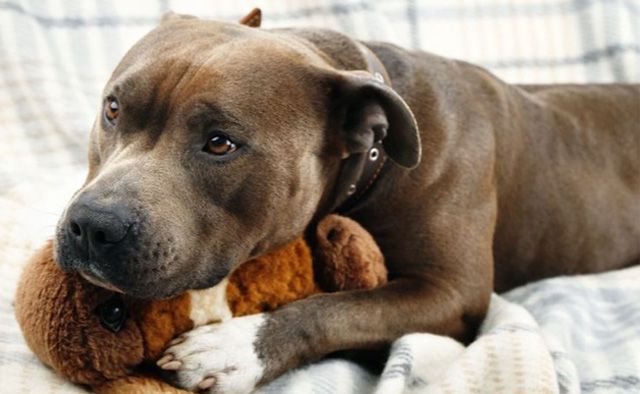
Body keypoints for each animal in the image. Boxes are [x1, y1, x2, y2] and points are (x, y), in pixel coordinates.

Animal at [56, 9, 640, 394]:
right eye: (113, 108)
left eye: (220, 143)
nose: (93, 224)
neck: (374, 154)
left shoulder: (453, 294)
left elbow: (341, 307)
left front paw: (235, 348)